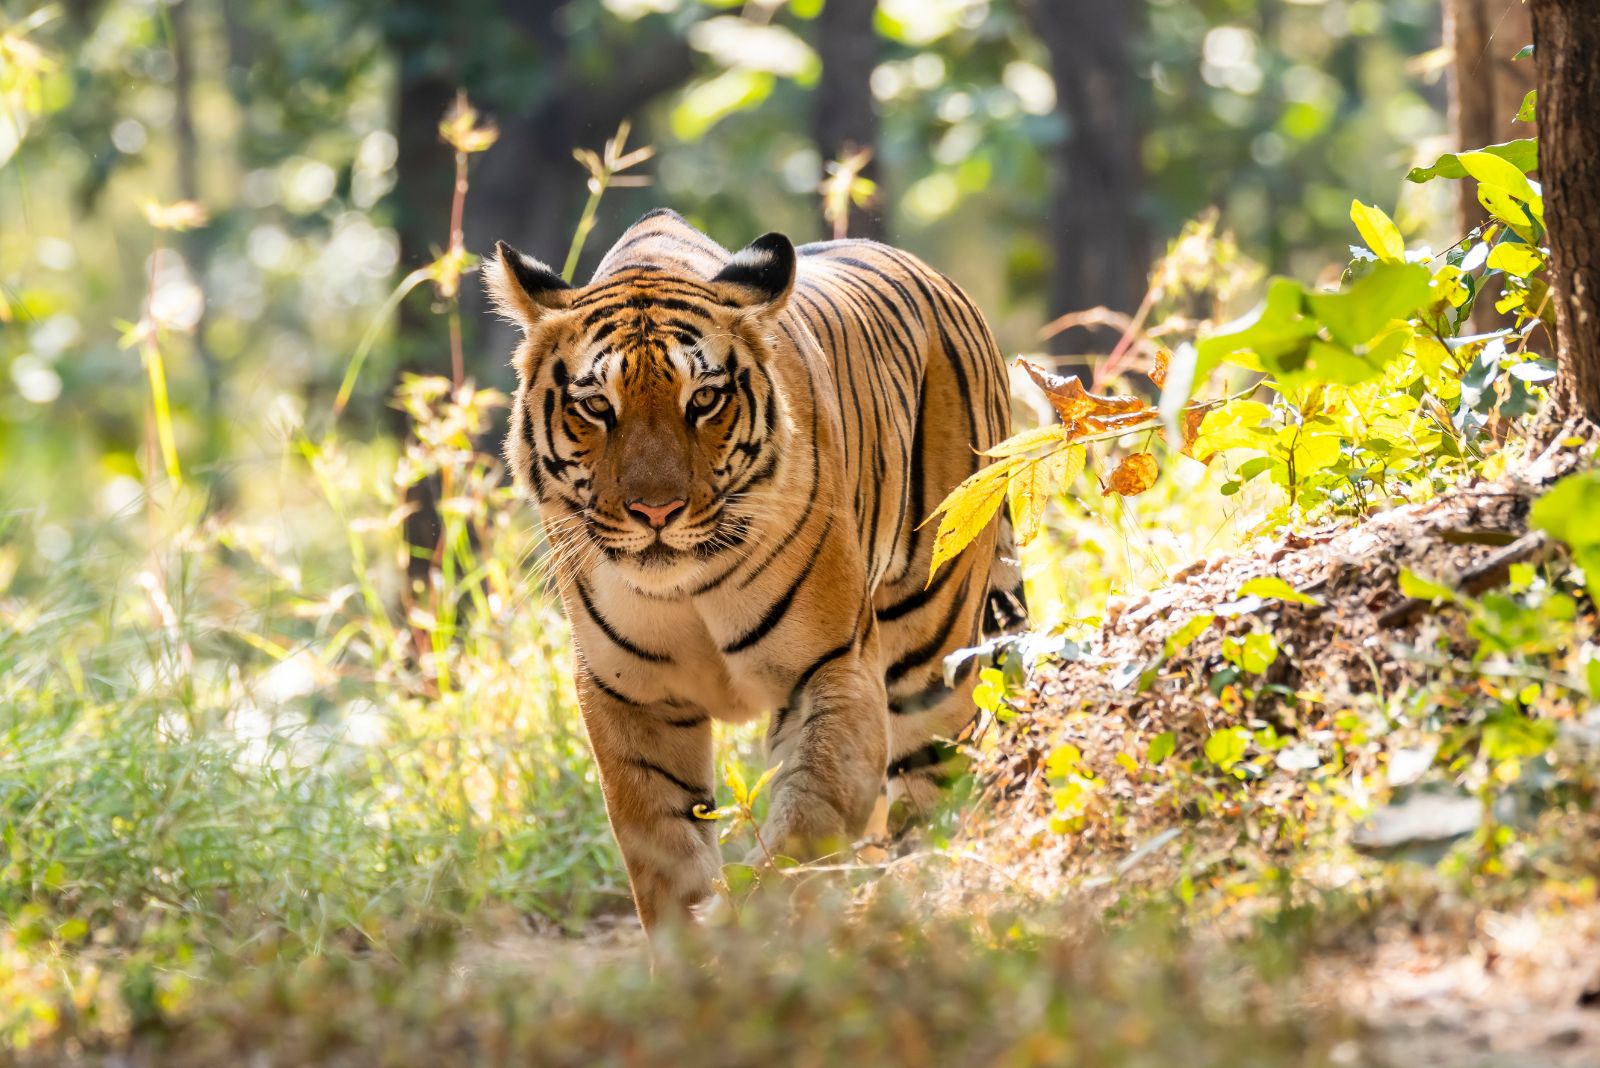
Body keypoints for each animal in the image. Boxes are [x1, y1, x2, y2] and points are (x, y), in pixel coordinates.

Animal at [480, 211, 1024, 933]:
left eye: (705, 400)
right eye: (597, 406)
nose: (656, 510)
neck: (683, 588)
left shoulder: (833, 668)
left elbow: (807, 824)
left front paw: (762, 928)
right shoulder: (629, 697)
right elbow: (665, 855)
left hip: (932, 661)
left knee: (930, 799)